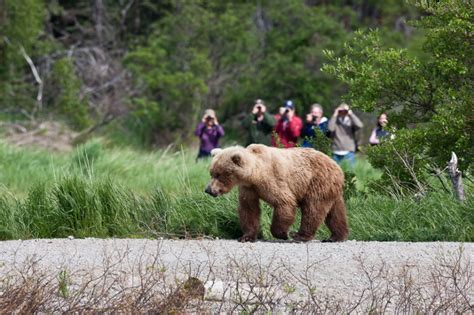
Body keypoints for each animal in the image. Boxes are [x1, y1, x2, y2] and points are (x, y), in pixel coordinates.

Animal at [204, 144, 348, 243]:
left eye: (219, 174)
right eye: (211, 173)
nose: (208, 190)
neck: (255, 174)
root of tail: (338, 166)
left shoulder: (272, 180)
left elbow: (284, 202)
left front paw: (283, 234)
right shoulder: (249, 188)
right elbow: (249, 209)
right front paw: (246, 237)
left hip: (317, 182)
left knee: (313, 208)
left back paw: (300, 235)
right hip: (331, 189)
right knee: (336, 213)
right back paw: (335, 236)